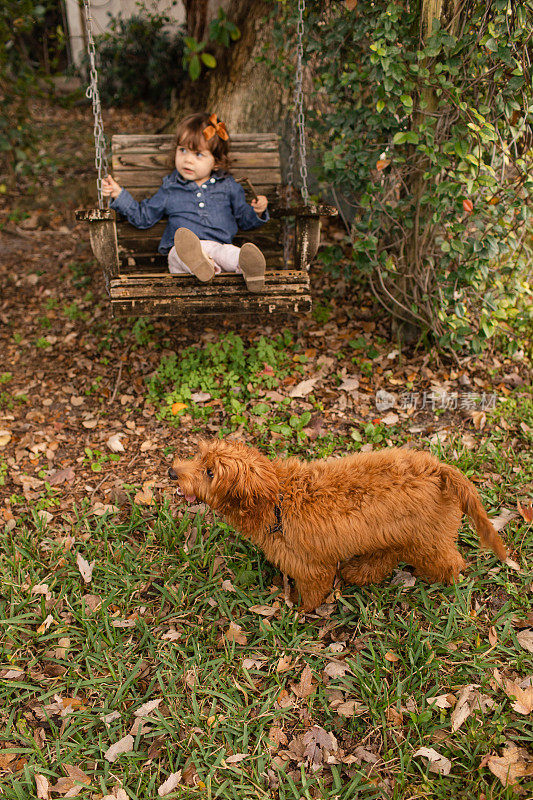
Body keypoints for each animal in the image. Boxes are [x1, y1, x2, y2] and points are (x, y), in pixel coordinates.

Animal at [168, 440, 504, 608]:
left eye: (210, 472)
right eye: (199, 456)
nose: (172, 472)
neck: (276, 498)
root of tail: (439, 469)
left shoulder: (310, 566)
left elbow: (313, 592)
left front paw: (300, 609)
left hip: (426, 539)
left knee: (450, 561)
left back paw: (443, 580)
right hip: (398, 534)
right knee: (385, 557)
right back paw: (359, 573)